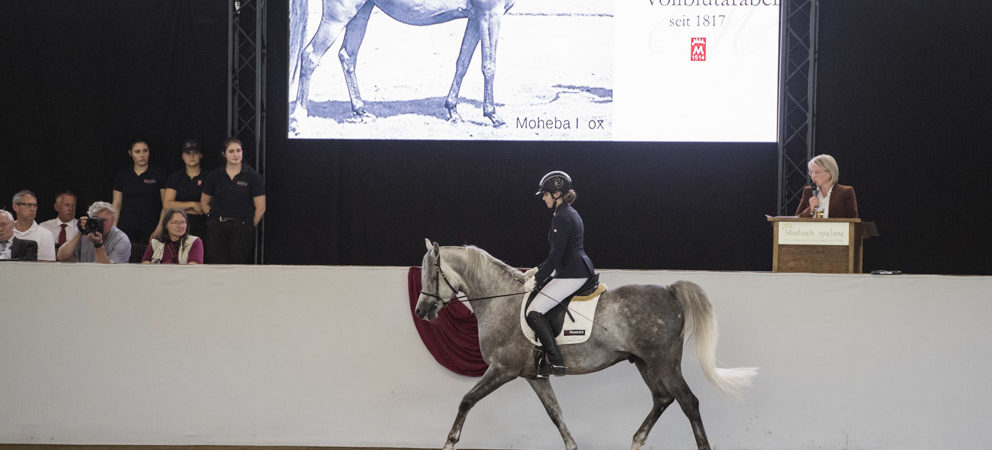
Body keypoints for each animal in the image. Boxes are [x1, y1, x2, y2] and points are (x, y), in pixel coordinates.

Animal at [290, 0, 516, 130]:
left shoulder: (476, 17)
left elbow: (463, 62)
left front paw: (453, 111)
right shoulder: (490, 14)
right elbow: (489, 65)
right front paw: (493, 115)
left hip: (361, 11)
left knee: (348, 56)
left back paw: (361, 112)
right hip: (338, 15)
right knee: (310, 56)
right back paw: (299, 116)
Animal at [414, 243, 756, 450]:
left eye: (433, 274)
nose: (421, 311)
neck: (501, 301)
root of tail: (670, 291)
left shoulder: (502, 369)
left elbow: (466, 400)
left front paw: (449, 442)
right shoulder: (534, 376)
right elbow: (555, 413)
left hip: (664, 361)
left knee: (688, 402)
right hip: (644, 362)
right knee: (662, 399)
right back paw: (635, 441)